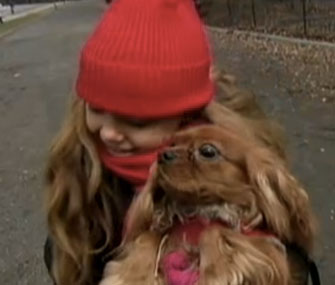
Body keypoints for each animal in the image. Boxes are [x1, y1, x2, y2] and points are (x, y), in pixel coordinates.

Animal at [100, 125, 318, 284]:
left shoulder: (269, 255)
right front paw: (131, 276)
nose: (163, 154)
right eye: (173, 143)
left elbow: (213, 231)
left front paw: (216, 273)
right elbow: (150, 236)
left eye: (207, 151)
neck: (199, 211)